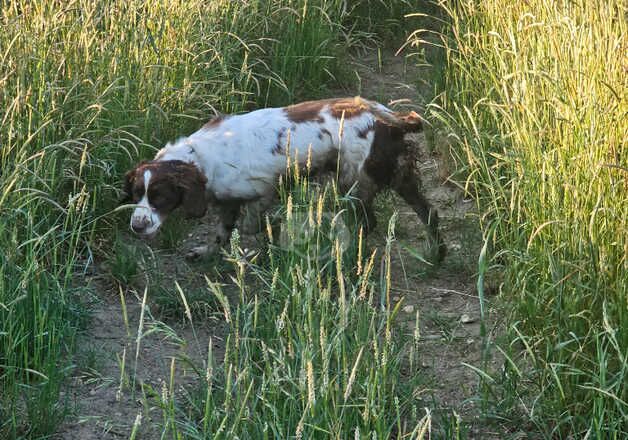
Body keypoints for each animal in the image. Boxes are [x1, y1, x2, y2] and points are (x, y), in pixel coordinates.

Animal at [122, 96, 446, 262]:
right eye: (137, 193)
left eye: (160, 197)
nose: (136, 226)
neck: (201, 157)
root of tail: (389, 118)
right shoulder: (227, 201)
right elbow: (222, 232)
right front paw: (206, 252)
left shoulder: (262, 190)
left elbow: (250, 226)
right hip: (397, 176)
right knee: (429, 212)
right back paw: (437, 253)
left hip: (354, 180)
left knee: (369, 222)